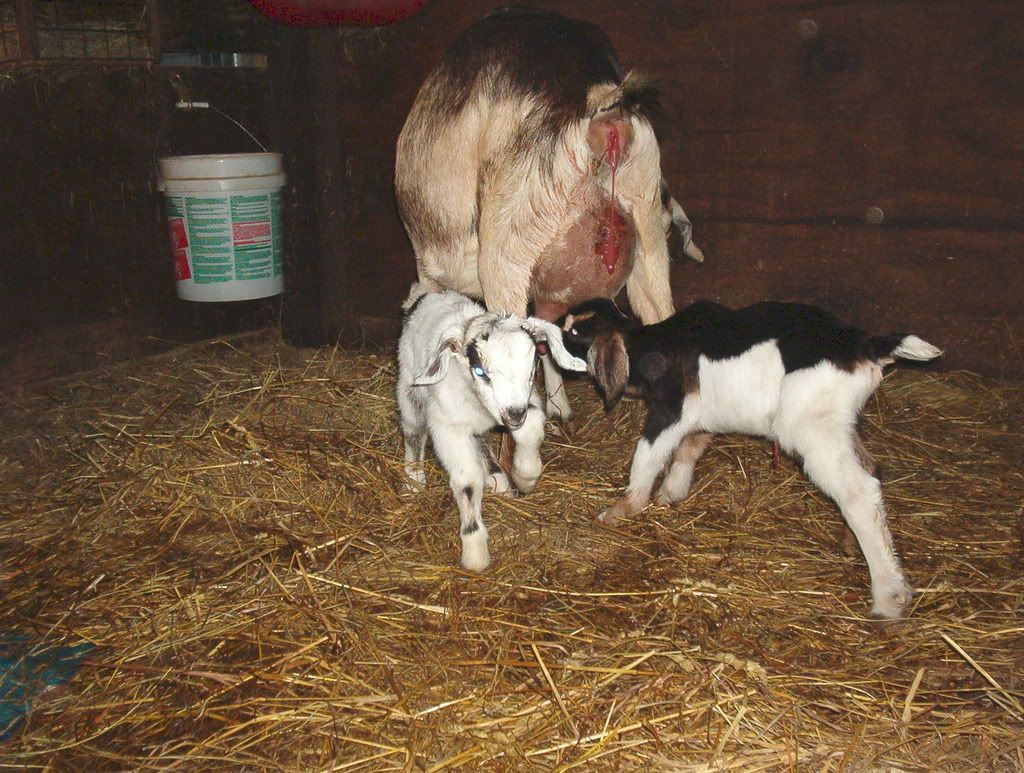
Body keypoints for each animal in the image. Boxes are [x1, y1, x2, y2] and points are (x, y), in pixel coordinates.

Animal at [398, 284, 587, 571]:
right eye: (480, 371)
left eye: (532, 366)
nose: (514, 413)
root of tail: (424, 295)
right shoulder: (448, 426)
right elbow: (467, 481)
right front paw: (475, 551)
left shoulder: (528, 401)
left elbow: (530, 431)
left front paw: (525, 477)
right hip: (409, 386)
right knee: (413, 429)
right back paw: (414, 479)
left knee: (482, 441)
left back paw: (498, 477)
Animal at [559, 298, 943, 619]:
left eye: (576, 331)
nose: (549, 340)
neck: (651, 344)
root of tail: (863, 342)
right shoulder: (703, 417)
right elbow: (689, 448)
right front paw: (672, 492)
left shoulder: (673, 408)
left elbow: (648, 456)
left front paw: (621, 509)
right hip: (837, 423)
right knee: (870, 468)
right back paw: (851, 544)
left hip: (810, 427)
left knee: (858, 492)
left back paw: (889, 599)